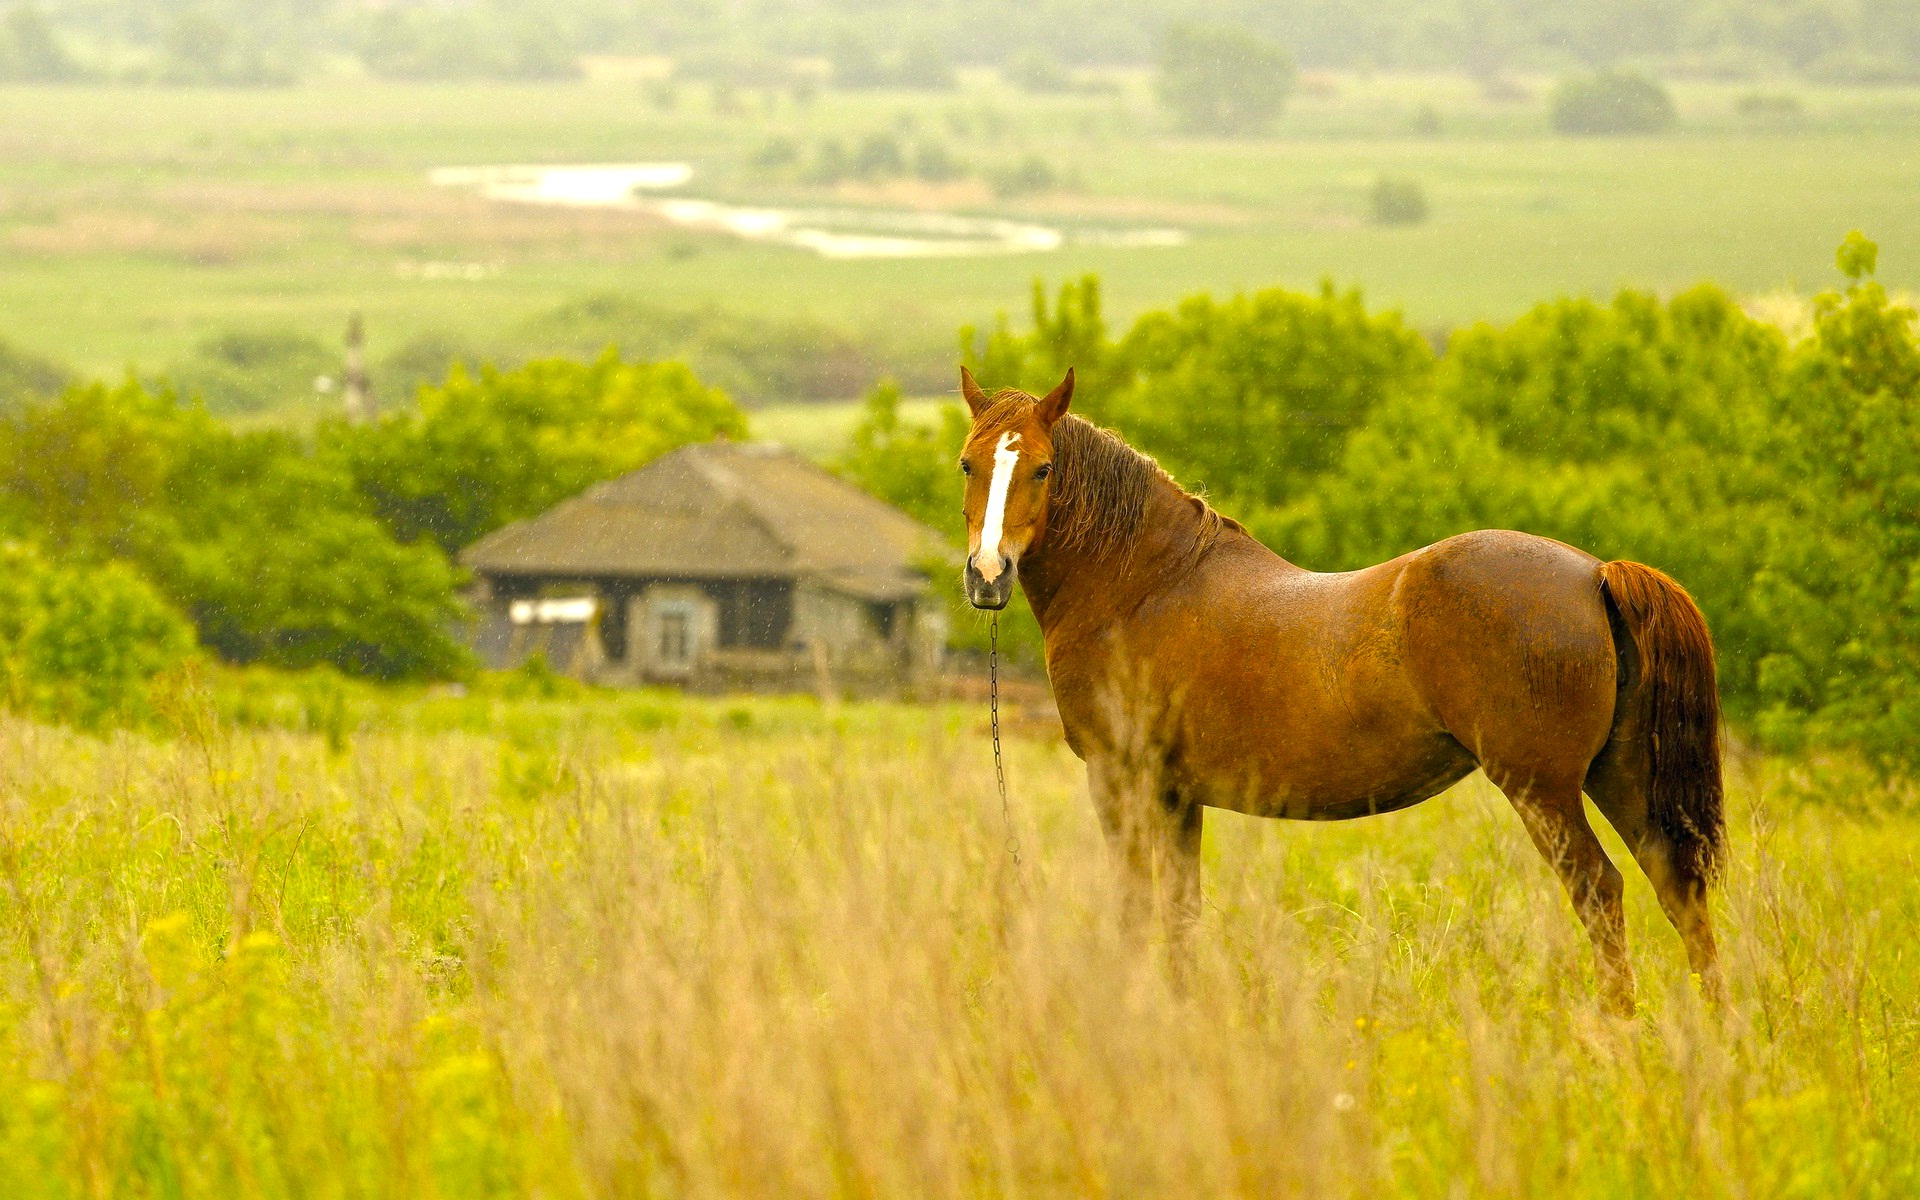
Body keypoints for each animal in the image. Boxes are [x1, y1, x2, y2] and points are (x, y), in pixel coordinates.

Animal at [960, 364, 1728, 1013]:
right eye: (969, 463)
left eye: (1043, 467)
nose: (987, 575)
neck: (1144, 583)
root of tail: (1595, 573)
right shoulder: (1178, 796)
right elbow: (1180, 911)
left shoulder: (1123, 780)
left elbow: (1135, 907)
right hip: (1619, 775)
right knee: (1676, 886)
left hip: (1544, 789)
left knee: (1599, 890)